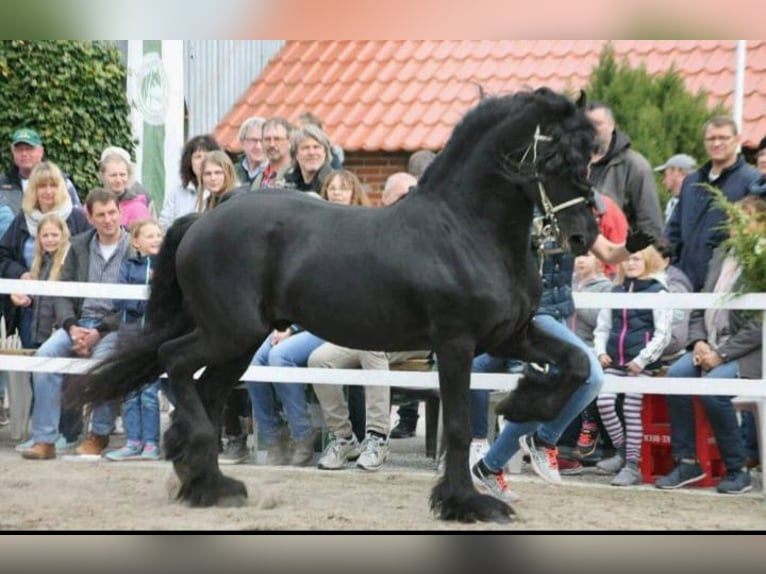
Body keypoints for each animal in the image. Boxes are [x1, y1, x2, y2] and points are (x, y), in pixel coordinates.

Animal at [72, 88, 600, 524]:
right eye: (553, 156)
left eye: (590, 157)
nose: (583, 236)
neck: (466, 230)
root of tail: (201, 222)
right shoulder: (456, 343)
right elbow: (455, 424)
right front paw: (465, 504)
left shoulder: (510, 334)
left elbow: (575, 364)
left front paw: (521, 400)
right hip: (229, 333)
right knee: (174, 362)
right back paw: (201, 472)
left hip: (241, 342)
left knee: (207, 390)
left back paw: (208, 484)